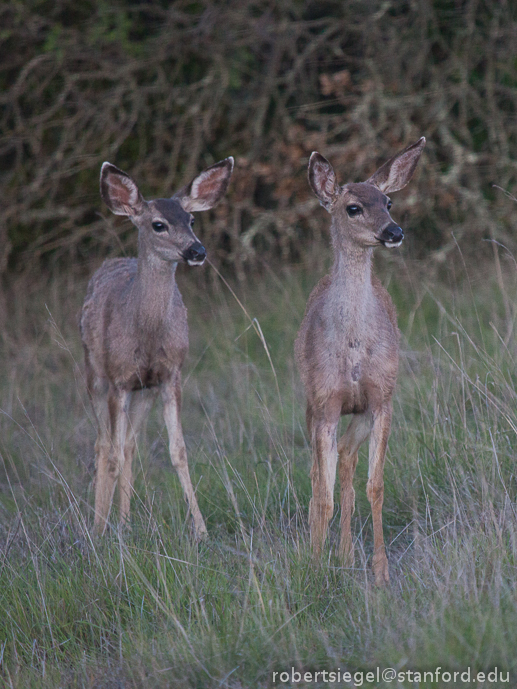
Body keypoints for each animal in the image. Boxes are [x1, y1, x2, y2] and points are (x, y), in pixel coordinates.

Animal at [80, 157, 234, 536]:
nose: (197, 250)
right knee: (103, 444)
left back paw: (124, 520)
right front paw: (102, 533)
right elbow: (111, 453)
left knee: (130, 444)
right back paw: (101, 523)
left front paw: (201, 530)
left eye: (192, 220)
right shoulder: (118, 379)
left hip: (144, 390)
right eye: (158, 225)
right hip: (93, 371)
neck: (146, 336)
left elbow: (177, 451)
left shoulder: (169, 375)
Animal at [294, 137, 424, 584]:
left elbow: (375, 486)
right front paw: (315, 568)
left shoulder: (382, 399)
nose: (394, 231)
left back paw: (348, 555)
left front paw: (380, 572)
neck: (352, 350)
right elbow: (323, 493)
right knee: (319, 474)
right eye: (352, 207)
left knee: (349, 461)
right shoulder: (325, 402)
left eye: (388, 201)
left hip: (361, 413)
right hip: (310, 407)